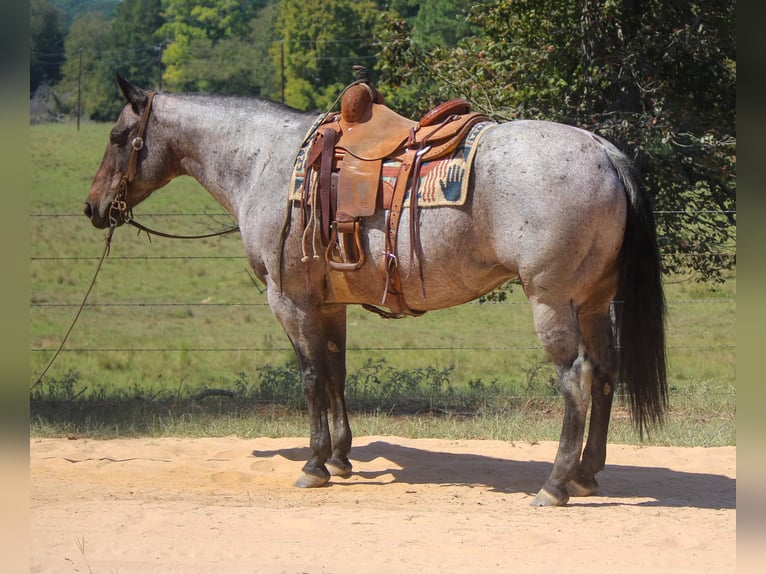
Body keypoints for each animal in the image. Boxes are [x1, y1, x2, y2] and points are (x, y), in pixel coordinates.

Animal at [84, 75, 664, 508]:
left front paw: (314, 463)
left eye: (116, 137)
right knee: (606, 373)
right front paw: (341, 457)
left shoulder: (290, 301)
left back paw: (555, 484)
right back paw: (586, 473)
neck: (266, 162)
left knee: (576, 379)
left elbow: (311, 377)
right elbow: (336, 371)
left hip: (552, 302)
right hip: (593, 302)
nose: (93, 208)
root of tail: (606, 152)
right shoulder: (329, 302)